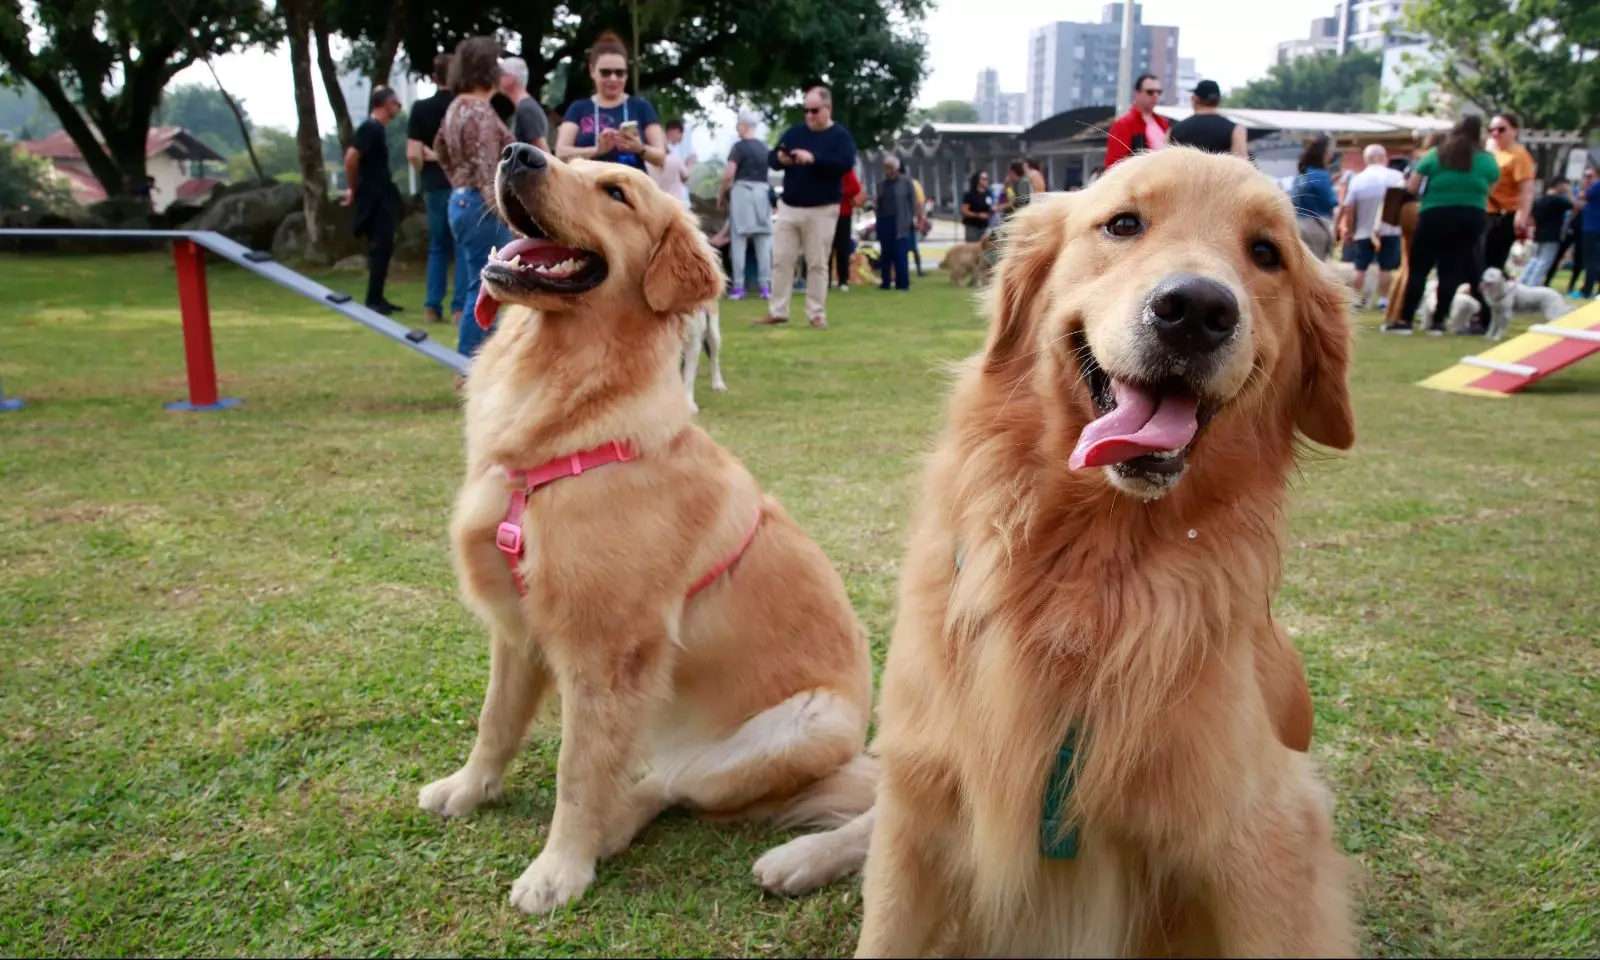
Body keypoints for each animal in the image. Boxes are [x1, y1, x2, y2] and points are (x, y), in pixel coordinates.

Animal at [422, 146, 876, 921]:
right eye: (569, 160)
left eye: (615, 192)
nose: (517, 152)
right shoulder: (517, 628)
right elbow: (494, 723)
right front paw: (467, 789)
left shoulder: (607, 652)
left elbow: (577, 772)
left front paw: (559, 870)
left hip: (803, 727)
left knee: (673, 783)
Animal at [755, 146, 1356, 953]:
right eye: (1123, 224)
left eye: (1267, 253)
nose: (1197, 310)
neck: (1089, 575)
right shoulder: (930, 787)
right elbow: (887, 919)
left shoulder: (1269, 837)